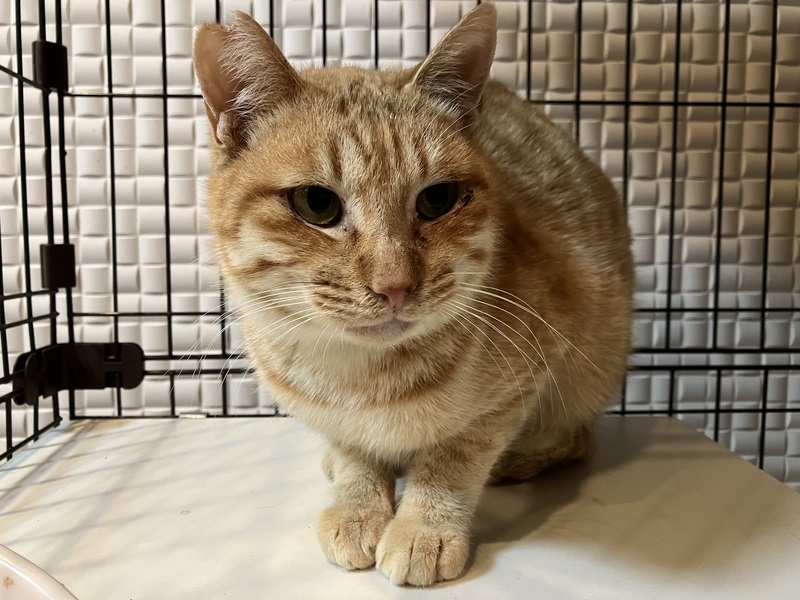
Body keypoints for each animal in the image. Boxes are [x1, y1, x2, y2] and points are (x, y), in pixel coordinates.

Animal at [194, 3, 633, 587]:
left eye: (438, 199)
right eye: (316, 204)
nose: (395, 284)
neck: (360, 378)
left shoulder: (525, 378)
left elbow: (454, 458)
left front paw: (425, 527)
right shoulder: (337, 422)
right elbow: (354, 453)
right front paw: (358, 505)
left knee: (577, 438)